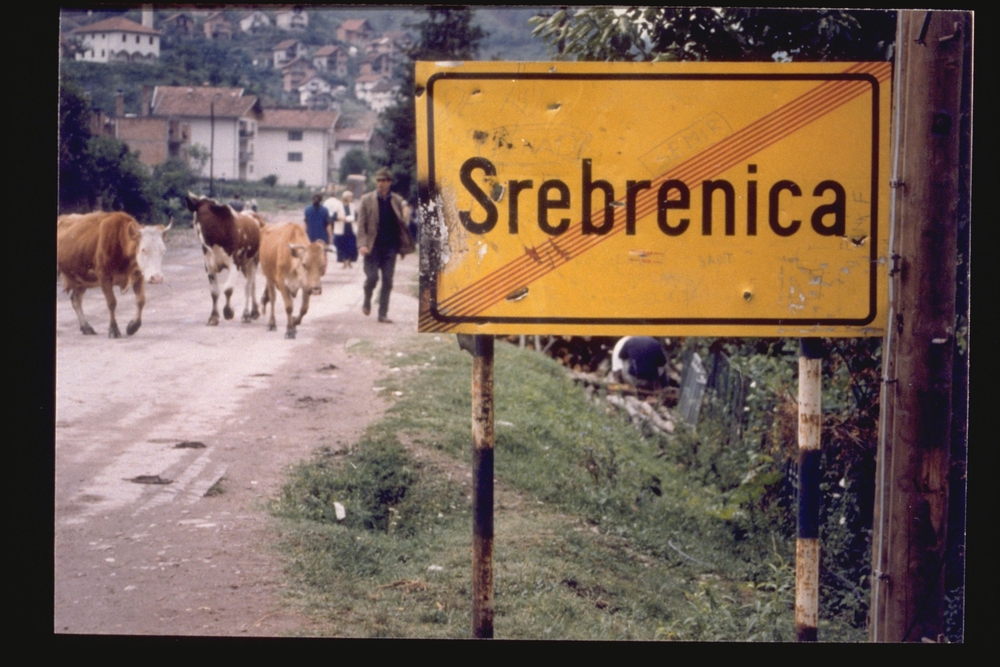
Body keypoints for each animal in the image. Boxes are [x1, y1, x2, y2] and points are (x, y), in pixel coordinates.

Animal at [183, 193, 264, 326]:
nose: (190, 224)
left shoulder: (235, 264)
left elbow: (228, 289)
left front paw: (228, 312)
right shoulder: (209, 266)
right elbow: (214, 292)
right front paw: (213, 317)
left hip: (253, 261)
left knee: (248, 286)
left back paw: (246, 314)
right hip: (246, 264)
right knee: (253, 283)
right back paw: (254, 312)